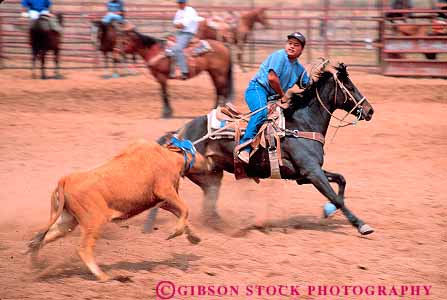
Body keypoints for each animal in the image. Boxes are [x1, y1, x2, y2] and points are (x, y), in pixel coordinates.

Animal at [27, 138, 208, 282]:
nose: (209, 162)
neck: (167, 156)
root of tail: (66, 180)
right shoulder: (165, 191)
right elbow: (185, 209)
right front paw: (175, 233)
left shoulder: (162, 201)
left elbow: (182, 213)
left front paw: (194, 237)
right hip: (94, 221)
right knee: (83, 249)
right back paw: (103, 276)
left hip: (66, 221)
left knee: (42, 239)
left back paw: (35, 265)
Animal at [145, 63, 376, 237]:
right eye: (350, 87)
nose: (370, 110)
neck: (302, 124)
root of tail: (179, 132)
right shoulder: (312, 172)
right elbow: (335, 196)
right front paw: (361, 225)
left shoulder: (305, 175)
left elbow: (341, 180)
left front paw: (329, 211)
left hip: (211, 177)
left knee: (208, 207)